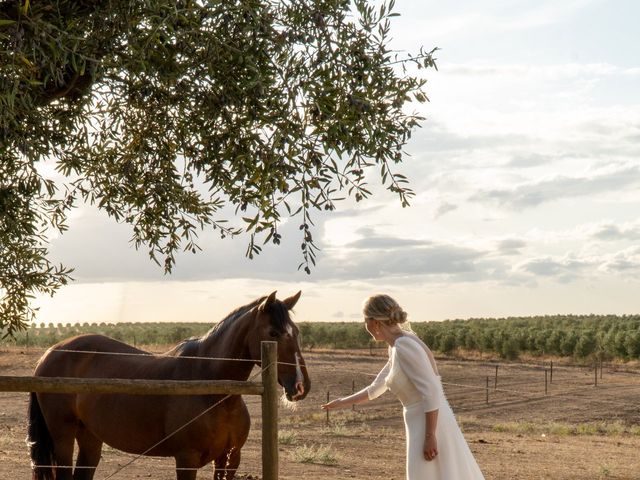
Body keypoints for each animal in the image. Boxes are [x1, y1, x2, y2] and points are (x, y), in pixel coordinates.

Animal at [26, 290, 312, 478]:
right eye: (274, 333)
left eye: (297, 332)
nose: (301, 386)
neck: (211, 389)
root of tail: (49, 354)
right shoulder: (187, 458)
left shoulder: (229, 459)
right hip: (63, 436)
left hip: (90, 436)